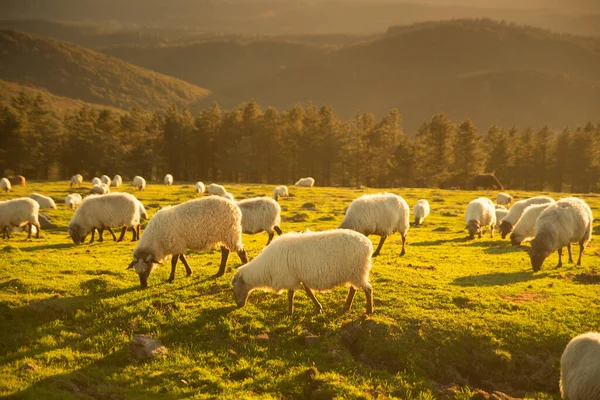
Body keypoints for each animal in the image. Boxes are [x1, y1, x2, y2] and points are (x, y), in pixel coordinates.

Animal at [232, 228, 372, 316]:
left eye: (235, 286)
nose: (238, 305)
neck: (265, 267)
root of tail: (367, 243)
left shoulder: (289, 278)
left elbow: (290, 296)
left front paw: (289, 312)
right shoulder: (299, 276)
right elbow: (309, 293)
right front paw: (318, 308)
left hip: (357, 270)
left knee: (367, 289)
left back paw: (369, 311)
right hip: (355, 272)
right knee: (354, 289)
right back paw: (347, 307)